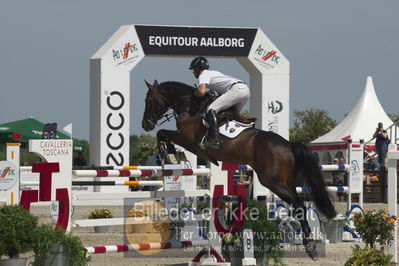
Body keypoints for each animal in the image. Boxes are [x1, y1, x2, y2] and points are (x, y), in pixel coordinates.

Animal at [142, 80, 336, 258]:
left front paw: (169, 154)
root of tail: (289, 145)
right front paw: (170, 154)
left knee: (299, 204)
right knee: (298, 204)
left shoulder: (188, 140)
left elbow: (163, 133)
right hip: (286, 182)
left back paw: (309, 245)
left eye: (149, 99)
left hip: (273, 182)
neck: (190, 106)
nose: (146, 124)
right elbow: (163, 134)